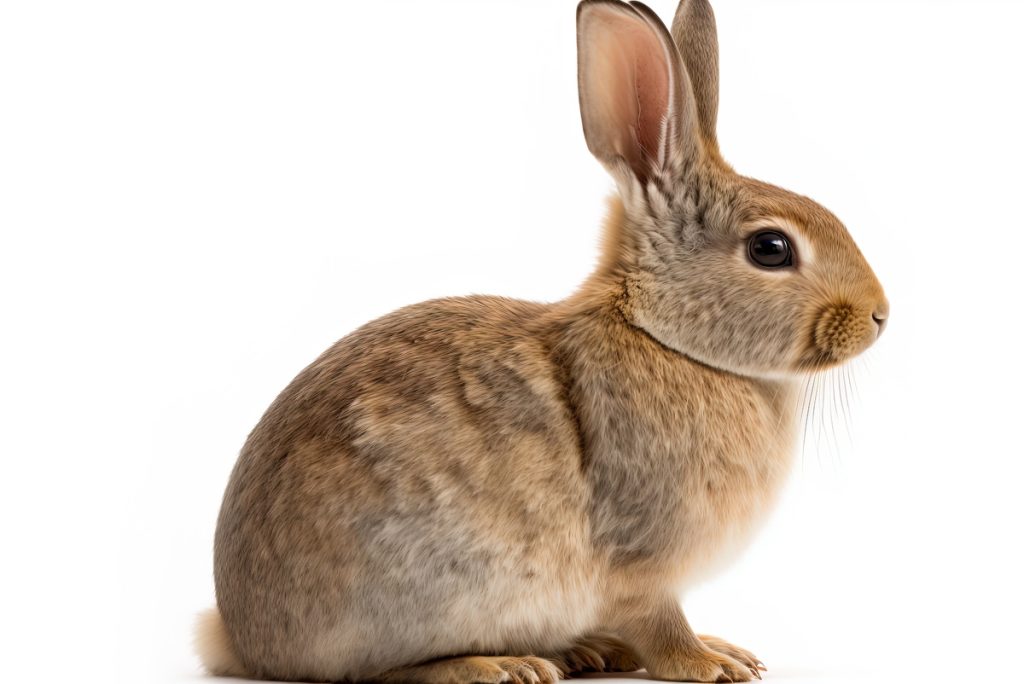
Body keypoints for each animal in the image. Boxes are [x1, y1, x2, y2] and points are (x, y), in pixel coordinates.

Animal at [196, 0, 888, 682]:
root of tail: (246, 639)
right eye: (771, 249)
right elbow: (659, 622)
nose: (880, 315)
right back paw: (504, 664)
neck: (666, 338)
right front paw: (710, 663)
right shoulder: (641, 562)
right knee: (386, 670)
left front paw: (725, 651)